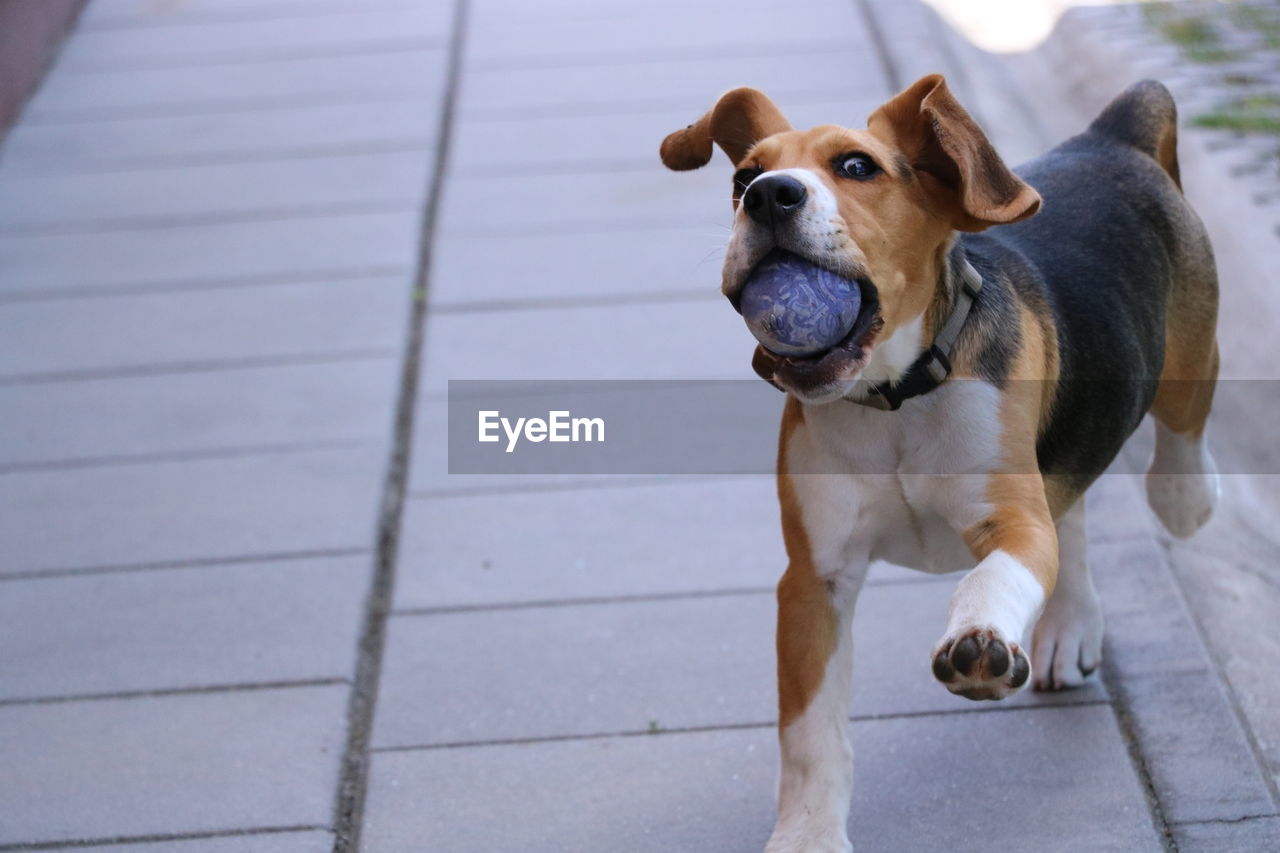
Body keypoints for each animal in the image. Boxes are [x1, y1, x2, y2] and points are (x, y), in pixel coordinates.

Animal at [660, 74, 1218, 850]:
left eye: (857, 166)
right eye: (742, 178)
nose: (769, 195)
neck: (897, 397)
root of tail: (1108, 135)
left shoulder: (1013, 520)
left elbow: (997, 574)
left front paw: (979, 640)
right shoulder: (813, 581)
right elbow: (809, 731)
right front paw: (808, 832)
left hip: (1191, 352)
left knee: (1182, 433)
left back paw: (1184, 496)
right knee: (1072, 510)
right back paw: (1071, 624)